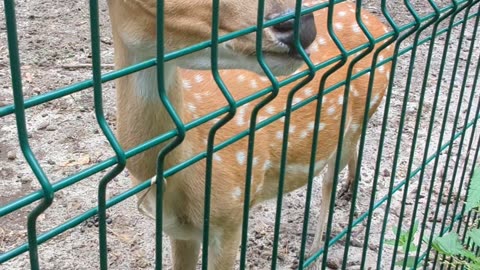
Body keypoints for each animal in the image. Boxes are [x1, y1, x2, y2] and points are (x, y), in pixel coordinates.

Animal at [108, 0, 394, 268]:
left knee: (328, 179)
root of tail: (378, 23)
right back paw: (349, 188)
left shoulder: (231, 215)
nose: (300, 25)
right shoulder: (179, 231)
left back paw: (313, 252)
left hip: (361, 115)